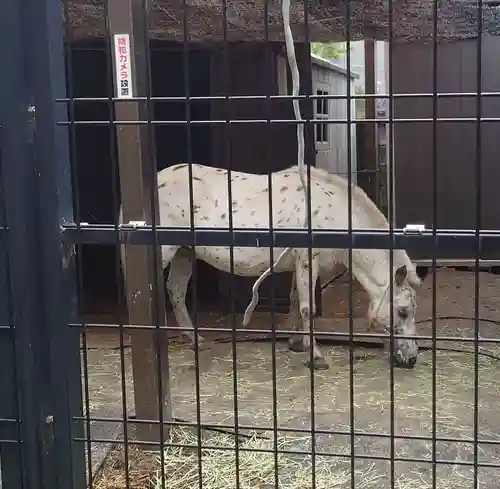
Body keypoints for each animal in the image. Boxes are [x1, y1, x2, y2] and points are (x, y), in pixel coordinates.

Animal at [120, 164, 422, 370]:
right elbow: (307, 308)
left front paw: (296, 343)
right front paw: (316, 356)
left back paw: (193, 338)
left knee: (175, 291)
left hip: (184, 252)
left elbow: (295, 302)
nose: (411, 359)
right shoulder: (307, 260)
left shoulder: (301, 265)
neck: (334, 211)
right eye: (403, 311)